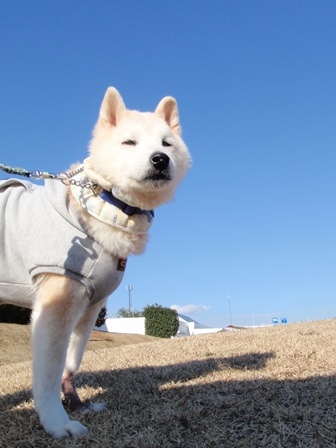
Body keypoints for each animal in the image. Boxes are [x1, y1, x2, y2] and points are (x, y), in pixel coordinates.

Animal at [0, 87, 190, 438]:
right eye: (129, 142)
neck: (105, 205)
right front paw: (58, 422)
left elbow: (70, 363)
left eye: (167, 143)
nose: (160, 159)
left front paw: (76, 403)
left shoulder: (89, 308)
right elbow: (48, 371)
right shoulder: (56, 305)